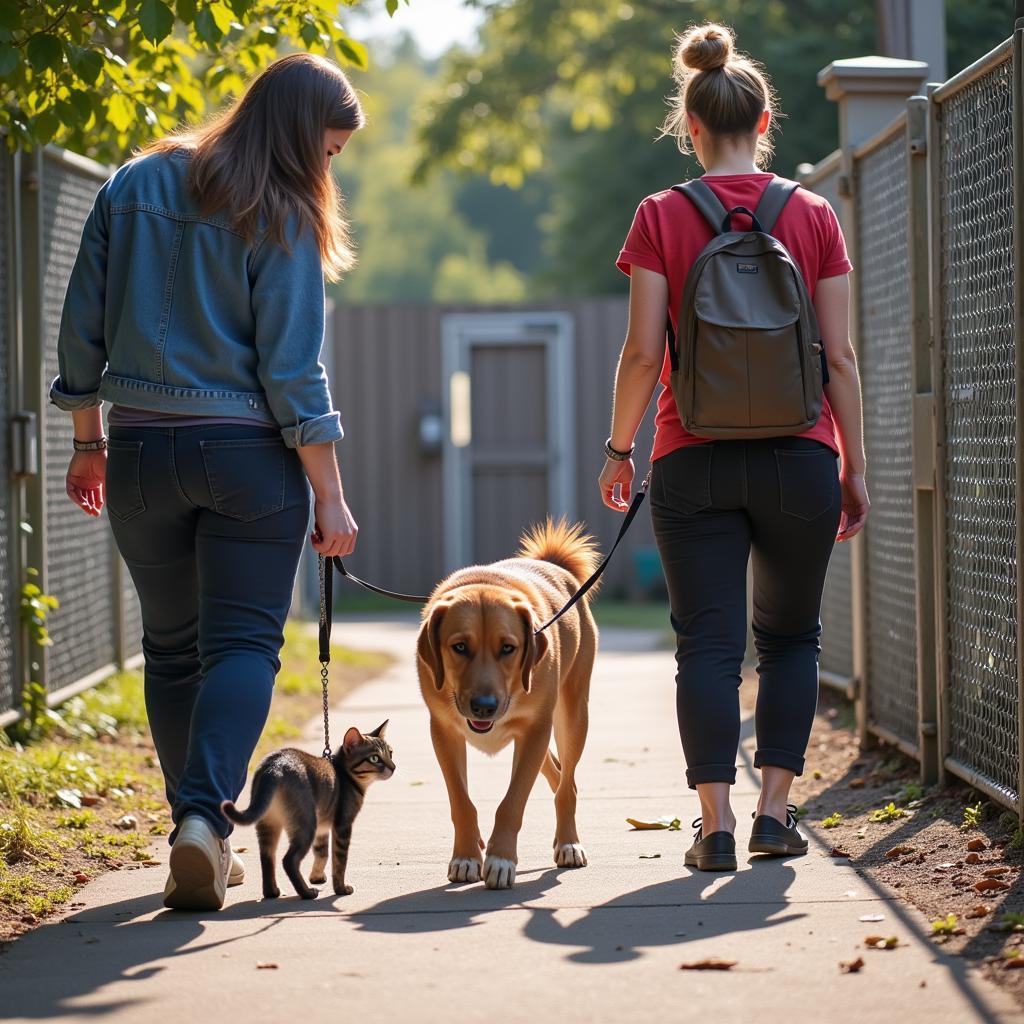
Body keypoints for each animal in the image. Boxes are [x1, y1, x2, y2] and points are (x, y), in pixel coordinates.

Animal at [222, 720, 393, 897]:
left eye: (390, 753)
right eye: (375, 758)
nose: (393, 767)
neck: (345, 774)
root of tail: (274, 767)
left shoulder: (322, 829)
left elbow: (322, 854)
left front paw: (316, 877)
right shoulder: (342, 826)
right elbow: (339, 862)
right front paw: (341, 888)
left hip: (268, 824)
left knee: (267, 856)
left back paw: (272, 892)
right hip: (306, 823)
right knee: (289, 860)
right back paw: (307, 892)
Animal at [415, 520, 598, 888]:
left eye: (508, 648)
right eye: (459, 647)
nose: (484, 706)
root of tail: (554, 565)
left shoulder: (535, 730)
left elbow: (512, 803)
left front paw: (500, 860)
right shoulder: (444, 733)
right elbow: (461, 801)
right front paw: (467, 855)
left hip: (571, 716)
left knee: (567, 783)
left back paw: (568, 842)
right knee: (556, 773)